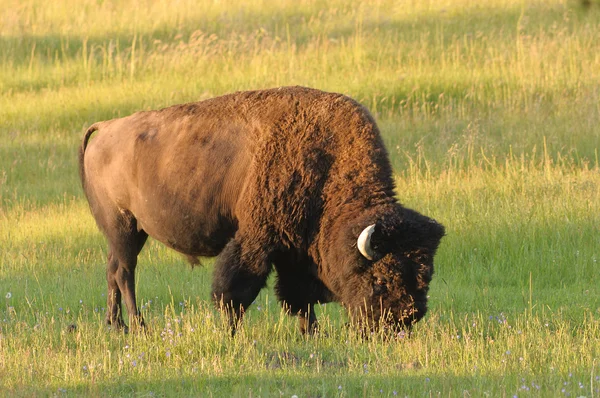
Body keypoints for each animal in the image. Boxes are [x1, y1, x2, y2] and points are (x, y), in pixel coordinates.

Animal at [79, 86, 442, 336]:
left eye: (425, 275)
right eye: (380, 276)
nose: (405, 318)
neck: (324, 160)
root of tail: (106, 127)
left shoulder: (294, 249)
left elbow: (298, 296)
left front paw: (311, 334)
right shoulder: (258, 238)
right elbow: (236, 290)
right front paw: (231, 332)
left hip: (127, 233)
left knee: (113, 270)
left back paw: (116, 325)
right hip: (124, 227)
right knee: (125, 273)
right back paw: (138, 326)